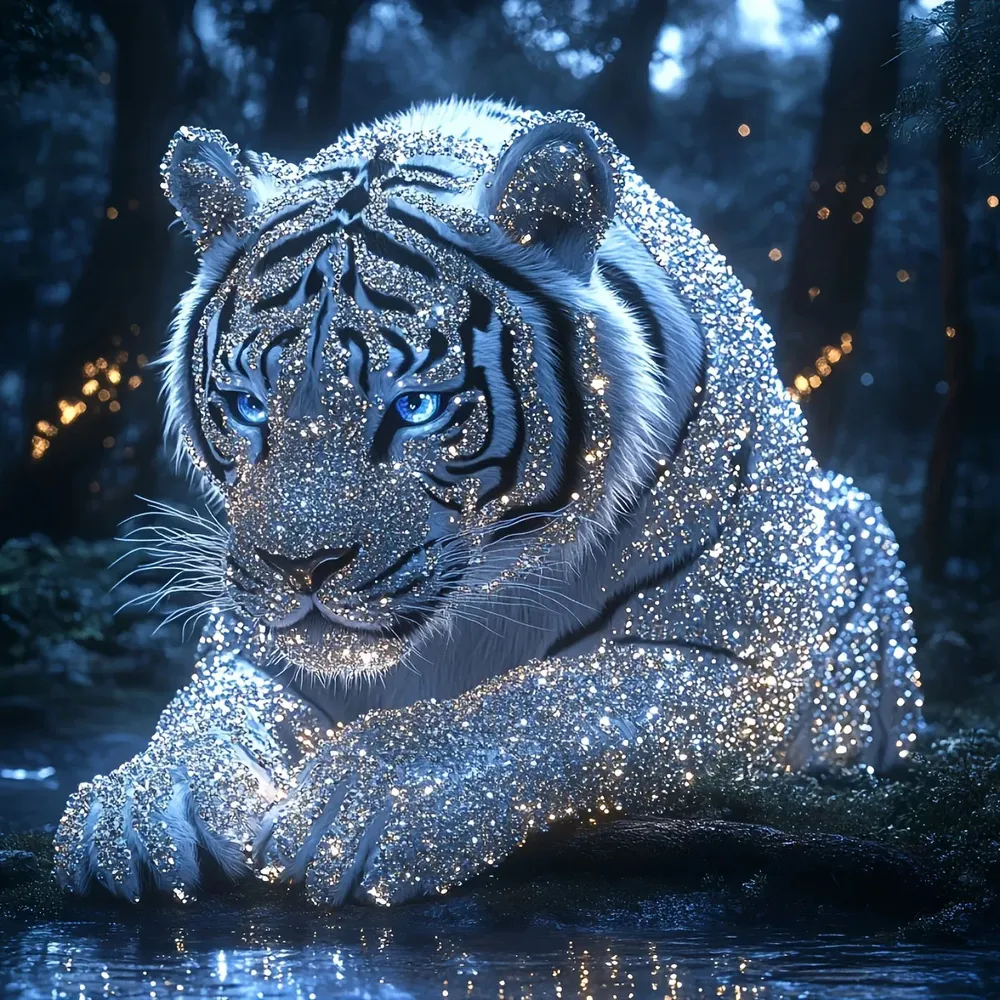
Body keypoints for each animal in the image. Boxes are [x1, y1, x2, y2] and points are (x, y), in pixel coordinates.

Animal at [54, 98, 923, 907]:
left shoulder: (741, 662)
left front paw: (364, 803)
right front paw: (136, 807)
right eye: (247, 406)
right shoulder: (249, 644)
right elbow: (207, 714)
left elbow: (552, 703)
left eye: (415, 408)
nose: (299, 568)